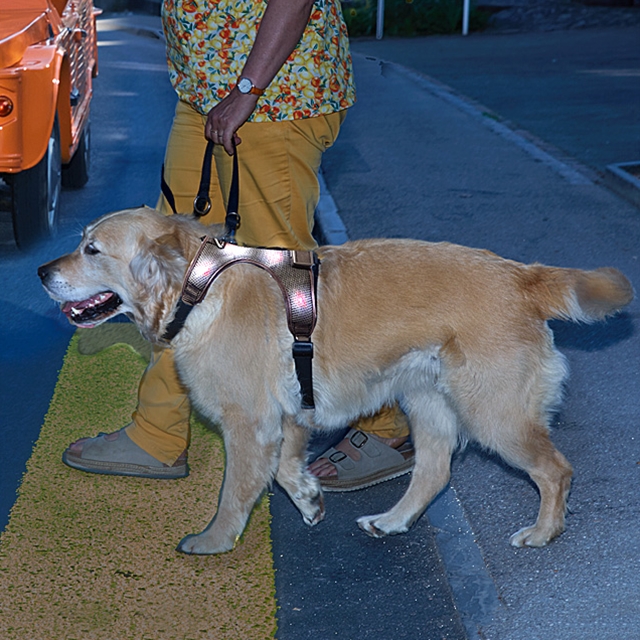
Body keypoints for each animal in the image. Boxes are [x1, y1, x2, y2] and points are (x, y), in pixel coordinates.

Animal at [37, 208, 632, 552]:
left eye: (92, 249)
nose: (42, 272)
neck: (199, 286)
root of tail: (522, 275)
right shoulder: (290, 415)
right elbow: (284, 470)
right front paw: (308, 498)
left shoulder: (250, 424)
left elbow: (236, 493)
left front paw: (215, 541)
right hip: (428, 401)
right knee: (434, 471)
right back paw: (392, 521)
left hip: (494, 412)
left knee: (555, 470)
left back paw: (544, 532)